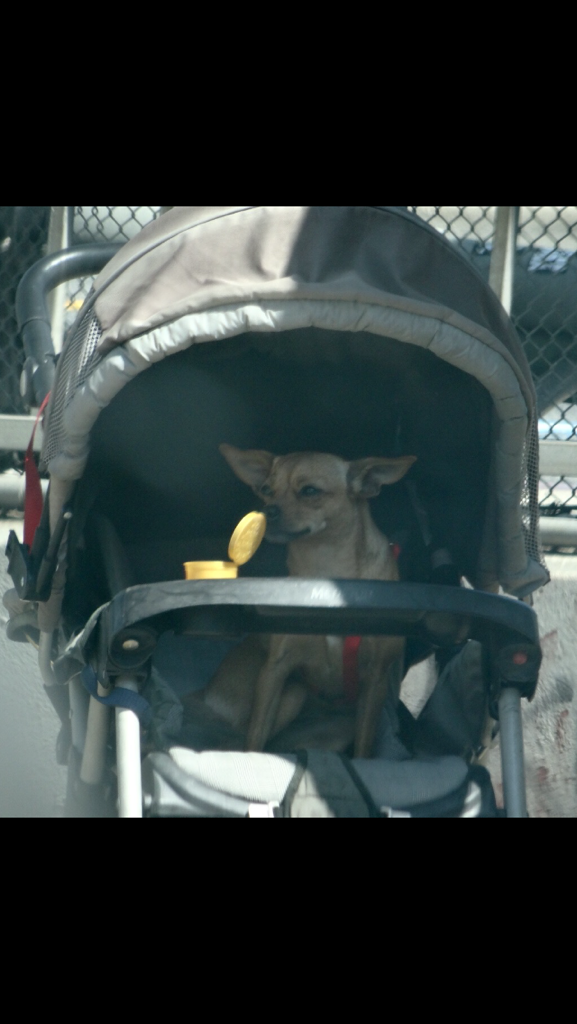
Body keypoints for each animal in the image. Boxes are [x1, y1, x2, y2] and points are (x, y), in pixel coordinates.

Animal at [198, 444, 416, 757]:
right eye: (266, 490)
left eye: (310, 491)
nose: (266, 510)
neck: (325, 571)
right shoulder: (274, 671)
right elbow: (254, 739)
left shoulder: (376, 680)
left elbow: (363, 746)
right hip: (293, 693)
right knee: (241, 740)